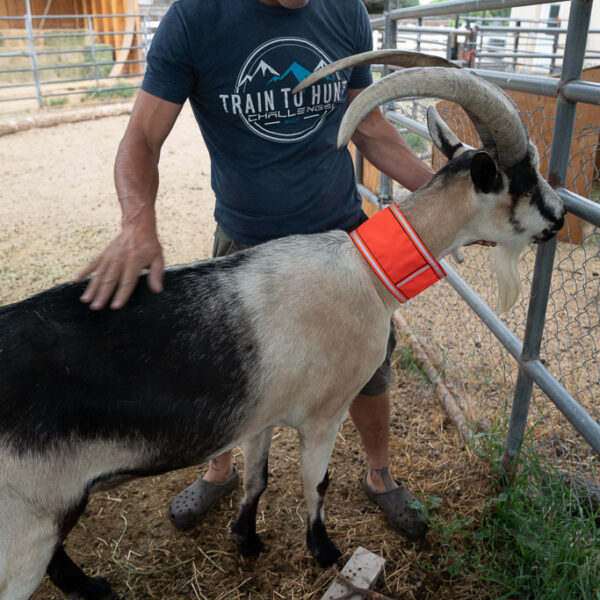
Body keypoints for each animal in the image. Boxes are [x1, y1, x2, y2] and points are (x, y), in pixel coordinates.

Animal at [0, 52, 564, 600]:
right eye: (525, 181)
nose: (559, 216)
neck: (367, 272)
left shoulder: (260, 416)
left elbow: (258, 477)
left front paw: (246, 540)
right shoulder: (323, 415)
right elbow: (316, 483)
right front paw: (325, 551)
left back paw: (94, 587)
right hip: (28, 525)